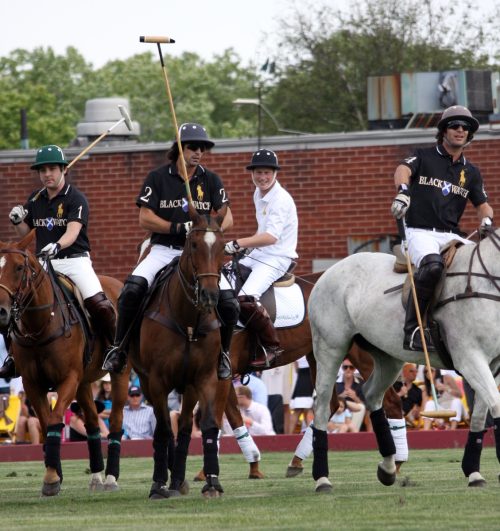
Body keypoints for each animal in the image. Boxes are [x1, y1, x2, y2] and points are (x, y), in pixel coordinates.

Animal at [0, 233, 129, 498]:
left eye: (18, 268)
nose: (1, 312)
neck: (40, 325)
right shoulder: (33, 384)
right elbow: (46, 421)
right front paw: (54, 474)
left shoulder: (67, 378)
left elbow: (55, 418)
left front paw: (51, 478)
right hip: (85, 382)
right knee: (92, 421)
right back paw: (96, 476)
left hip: (119, 374)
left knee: (116, 420)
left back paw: (111, 478)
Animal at [130, 204, 229, 498]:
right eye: (193, 244)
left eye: (223, 246)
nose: (210, 296)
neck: (188, 320)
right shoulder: (157, 380)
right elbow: (163, 429)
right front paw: (157, 483)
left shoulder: (205, 377)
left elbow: (208, 425)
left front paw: (212, 482)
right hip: (147, 381)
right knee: (165, 427)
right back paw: (169, 478)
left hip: (189, 386)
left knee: (184, 426)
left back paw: (178, 478)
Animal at [308, 231, 500, 492]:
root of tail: (327, 272)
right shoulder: (469, 358)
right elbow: (495, 405)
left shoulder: (493, 364)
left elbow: (482, 415)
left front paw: (473, 473)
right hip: (330, 347)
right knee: (322, 405)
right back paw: (322, 478)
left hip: (387, 356)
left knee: (371, 394)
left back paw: (388, 466)